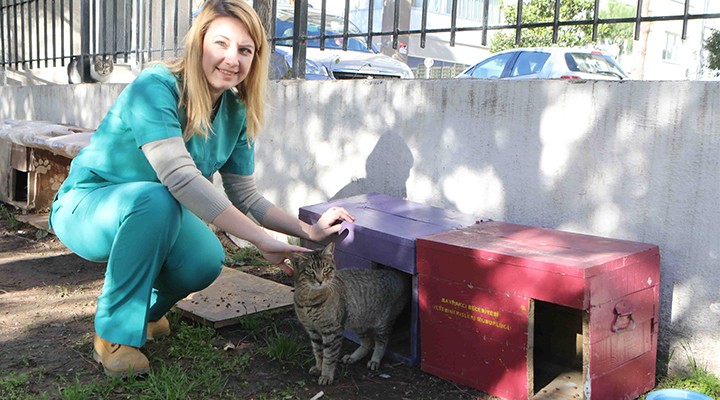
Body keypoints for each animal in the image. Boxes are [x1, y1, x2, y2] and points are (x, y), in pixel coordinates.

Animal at [288, 242, 410, 386]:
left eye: (326, 270)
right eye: (310, 272)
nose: (320, 280)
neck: (309, 300)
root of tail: (396, 273)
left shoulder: (332, 331)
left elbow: (329, 356)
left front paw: (326, 375)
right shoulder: (313, 331)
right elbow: (318, 352)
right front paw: (318, 367)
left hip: (383, 323)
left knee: (381, 342)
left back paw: (375, 360)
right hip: (359, 323)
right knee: (367, 342)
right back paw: (353, 357)